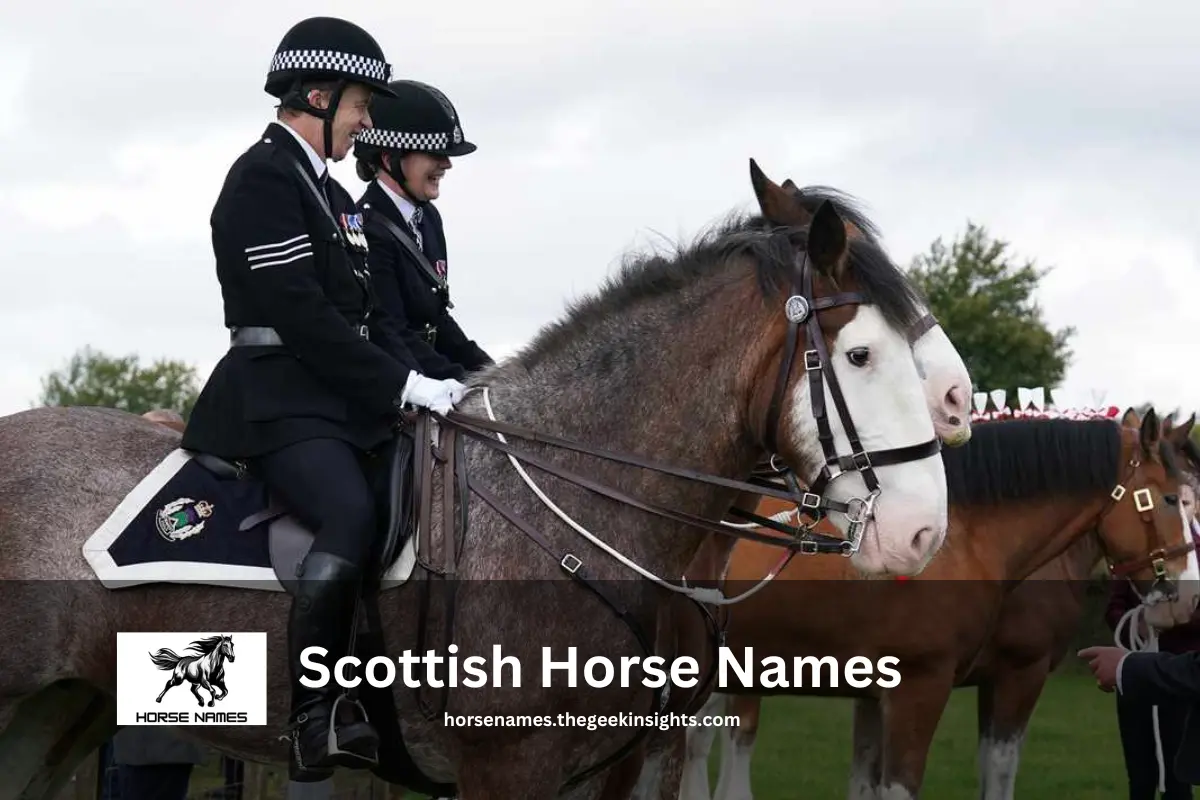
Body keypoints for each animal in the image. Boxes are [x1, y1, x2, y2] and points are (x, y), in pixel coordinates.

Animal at [0, 160, 961, 800]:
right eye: (862, 353)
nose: (922, 531)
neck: (581, 504)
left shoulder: (613, 769)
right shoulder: (511, 768)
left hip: (57, 713)